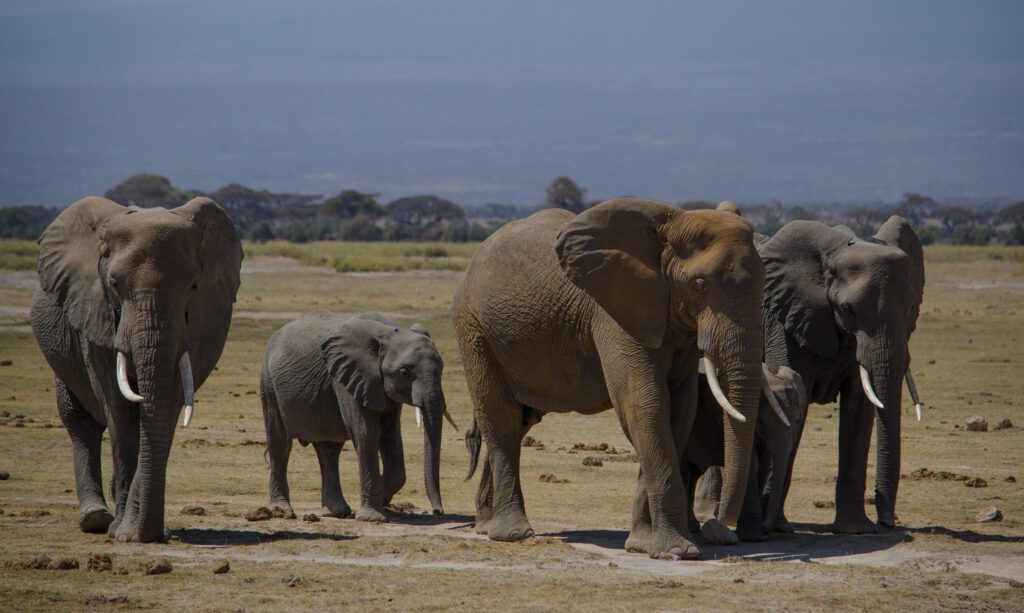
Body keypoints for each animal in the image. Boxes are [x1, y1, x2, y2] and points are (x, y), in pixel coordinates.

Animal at [30, 195, 241, 540]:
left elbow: (167, 406)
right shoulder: (95, 312)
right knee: (78, 420)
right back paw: (95, 518)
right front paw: (125, 533)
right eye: (114, 284)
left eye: (194, 286)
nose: (153, 535)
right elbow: (119, 410)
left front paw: (138, 532)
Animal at [260, 311, 456, 521]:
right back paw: (281, 511)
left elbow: (390, 436)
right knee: (280, 444)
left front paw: (382, 501)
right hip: (268, 384)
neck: (388, 333)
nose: (438, 512)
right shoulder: (348, 377)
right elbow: (366, 434)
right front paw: (373, 516)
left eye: (442, 370)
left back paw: (336, 512)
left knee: (329, 450)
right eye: (404, 372)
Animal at [456, 197, 770, 560]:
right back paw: (513, 534)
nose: (722, 523)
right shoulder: (614, 311)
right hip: (474, 329)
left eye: (764, 282)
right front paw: (676, 551)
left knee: (519, 420)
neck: (672, 224)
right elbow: (644, 404)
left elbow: (679, 411)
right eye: (700, 285)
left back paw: (485, 526)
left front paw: (642, 545)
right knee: (500, 418)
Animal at [684, 364, 802, 540]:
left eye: (797, 421)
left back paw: (693, 528)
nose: (766, 529)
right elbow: (751, 462)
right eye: (760, 421)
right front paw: (753, 535)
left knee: (693, 474)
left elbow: (763, 463)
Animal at [761, 217, 929, 536]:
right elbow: (794, 404)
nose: (887, 522)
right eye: (847, 309)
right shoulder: (783, 321)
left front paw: (857, 530)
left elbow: (860, 407)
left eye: (912, 308)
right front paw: (778, 528)